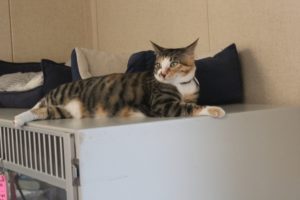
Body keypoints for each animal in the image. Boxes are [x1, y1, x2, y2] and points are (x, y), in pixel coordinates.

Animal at [14, 38, 225, 127]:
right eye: (158, 64)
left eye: (173, 63)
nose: (162, 74)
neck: (182, 86)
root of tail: (53, 90)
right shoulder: (162, 105)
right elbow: (190, 107)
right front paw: (215, 110)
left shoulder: (190, 96)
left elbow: (191, 103)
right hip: (61, 97)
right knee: (37, 107)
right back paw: (18, 118)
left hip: (67, 111)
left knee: (43, 111)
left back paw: (20, 119)